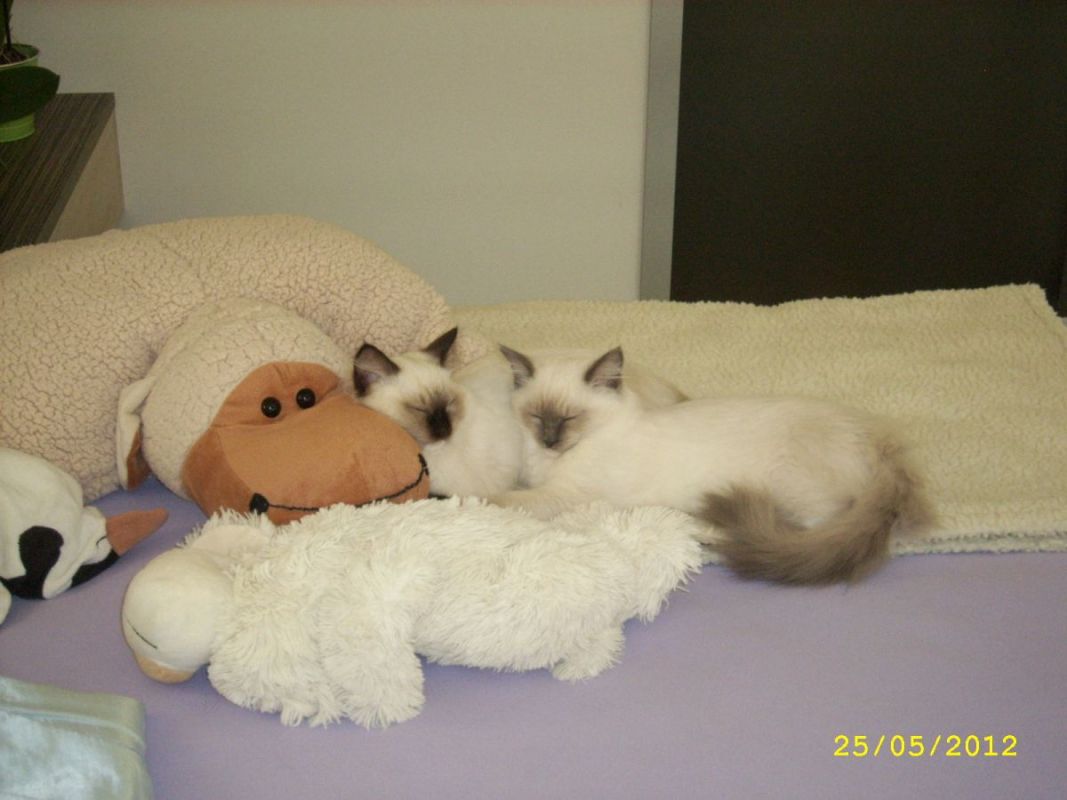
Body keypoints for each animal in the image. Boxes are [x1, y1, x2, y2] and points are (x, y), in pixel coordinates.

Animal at [493, 345, 934, 585]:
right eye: (536, 417)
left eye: (569, 419)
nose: (550, 441)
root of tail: (876, 435)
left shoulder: (566, 495)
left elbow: (508, 499)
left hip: (789, 487)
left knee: (814, 526)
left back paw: (710, 530)